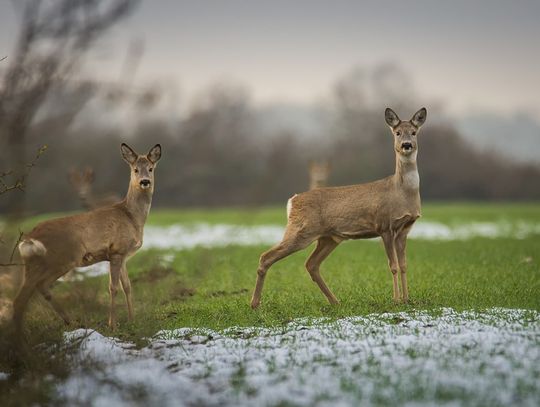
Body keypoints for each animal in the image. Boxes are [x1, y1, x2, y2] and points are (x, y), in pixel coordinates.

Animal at [12, 143, 160, 334]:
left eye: (150, 168)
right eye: (135, 169)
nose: (144, 181)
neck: (132, 217)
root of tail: (29, 239)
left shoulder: (123, 256)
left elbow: (127, 286)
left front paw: (132, 320)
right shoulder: (116, 251)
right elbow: (113, 288)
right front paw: (113, 325)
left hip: (34, 264)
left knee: (32, 292)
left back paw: (66, 322)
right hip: (62, 259)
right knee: (29, 294)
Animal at [251, 108, 428, 310]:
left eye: (413, 132)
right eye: (397, 133)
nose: (406, 145)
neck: (402, 192)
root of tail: (292, 200)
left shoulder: (405, 228)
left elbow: (404, 265)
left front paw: (407, 300)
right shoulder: (384, 226)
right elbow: (393, 266)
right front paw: (396, 300)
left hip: (328, 238)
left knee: (311, 264)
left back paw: (335, 301)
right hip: (301, 230)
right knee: (266, 256)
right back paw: (254, 304)